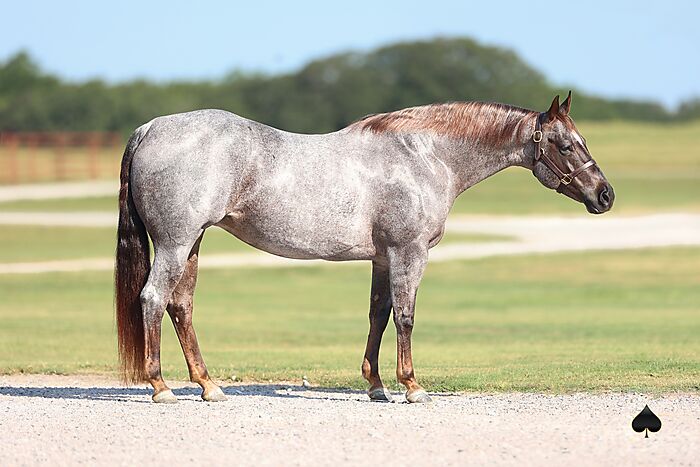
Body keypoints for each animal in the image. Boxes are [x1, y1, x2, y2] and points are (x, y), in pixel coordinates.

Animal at [115, 92, 614, 404]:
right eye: (565, 145)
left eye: (584, 141)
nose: (605, 195)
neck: (423, 155)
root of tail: (150, 128)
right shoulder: (410, 253)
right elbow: (406, 316)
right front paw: (411, 386)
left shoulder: (383, 258)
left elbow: (379, 314)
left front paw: (375, 385)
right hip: (176, 243)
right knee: (153, 300)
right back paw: (161, 387)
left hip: (192, 243)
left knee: (181, 307)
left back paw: (209, 386)